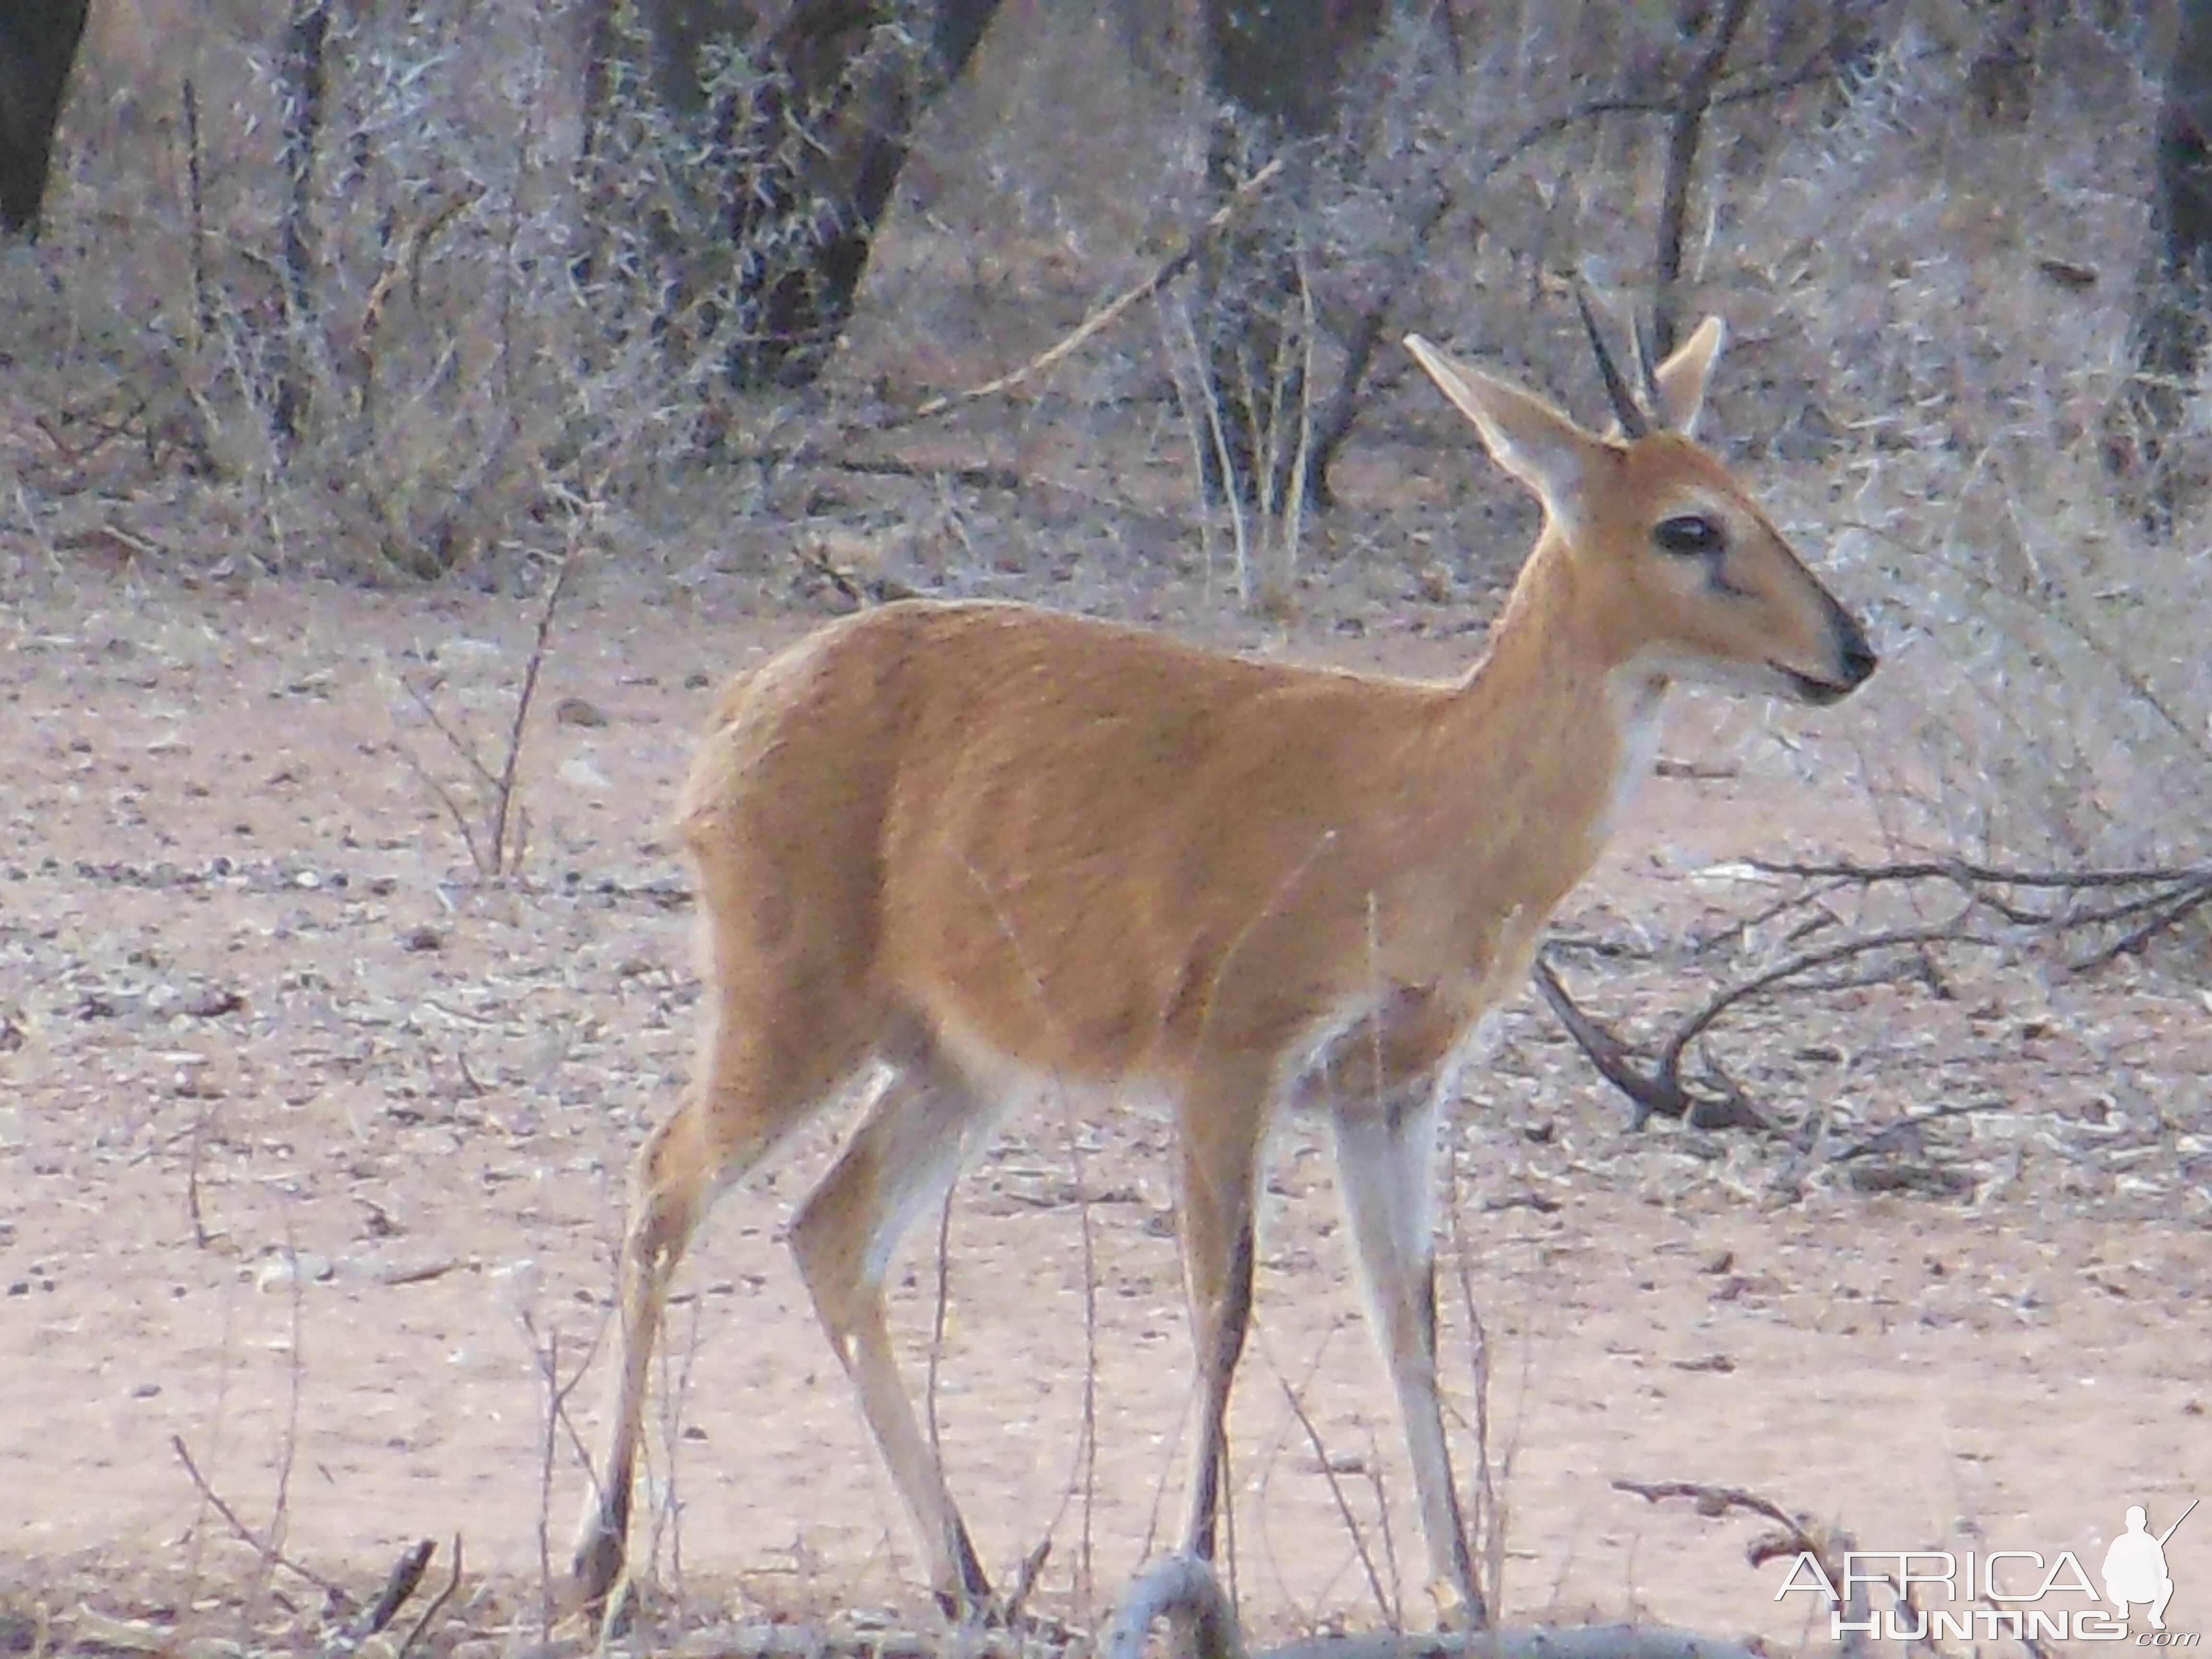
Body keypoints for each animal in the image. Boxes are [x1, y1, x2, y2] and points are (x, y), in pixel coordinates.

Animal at [570, 299, 1867, 1628]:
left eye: (1745, 492)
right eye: (1688, 525)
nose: (1851, 649)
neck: (1428, 796)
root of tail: (739, 709)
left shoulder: (1391, 1089)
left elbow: (1408, 1316)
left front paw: (1461, 1593)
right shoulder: (1232, 1059)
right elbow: (1223, 1308)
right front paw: (1200, 1575)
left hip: (956, 1065)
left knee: (829, 1234)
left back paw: (971, 1580)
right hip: (792, 1008)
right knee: (663, 1186)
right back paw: (597, 1558)